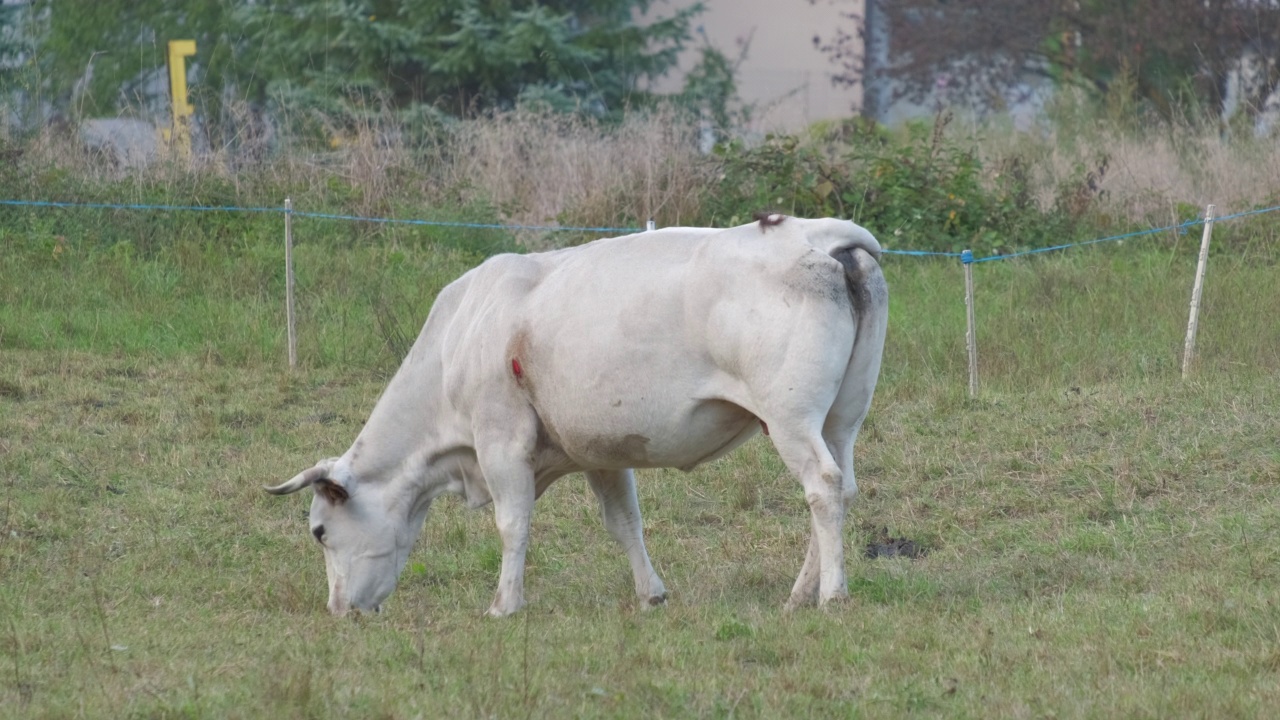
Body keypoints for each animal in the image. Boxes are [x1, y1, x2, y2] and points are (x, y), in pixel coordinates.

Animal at [267, 212, 890, 617]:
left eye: (320, 531)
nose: (338, 610)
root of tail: (817, 232)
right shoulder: (601, 451)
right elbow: (624, 523)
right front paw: (650, 594)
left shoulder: (500, 439)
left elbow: (512, 523)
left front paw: (504, 605)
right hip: (841, 417)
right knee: (842, 485)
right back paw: (800, 593)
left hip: (791, 417)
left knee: (822, 486)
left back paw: (831, 595)